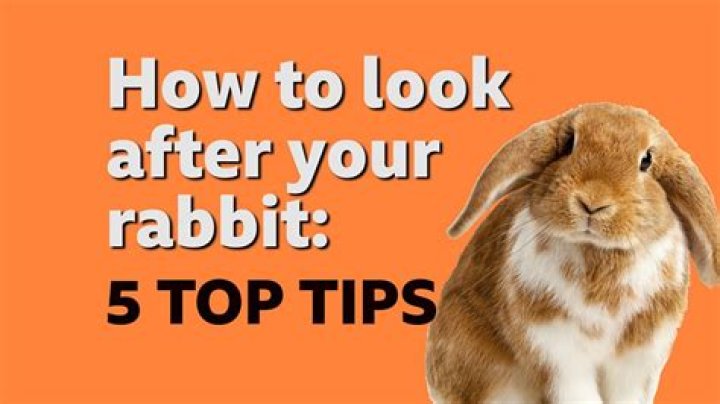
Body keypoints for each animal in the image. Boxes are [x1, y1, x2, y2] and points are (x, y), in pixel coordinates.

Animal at [425, 102, 719, 404]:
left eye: (646, 161)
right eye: (569, 144)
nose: (592, 202)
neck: (598, 253)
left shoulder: (638, 359)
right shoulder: (557, 352)